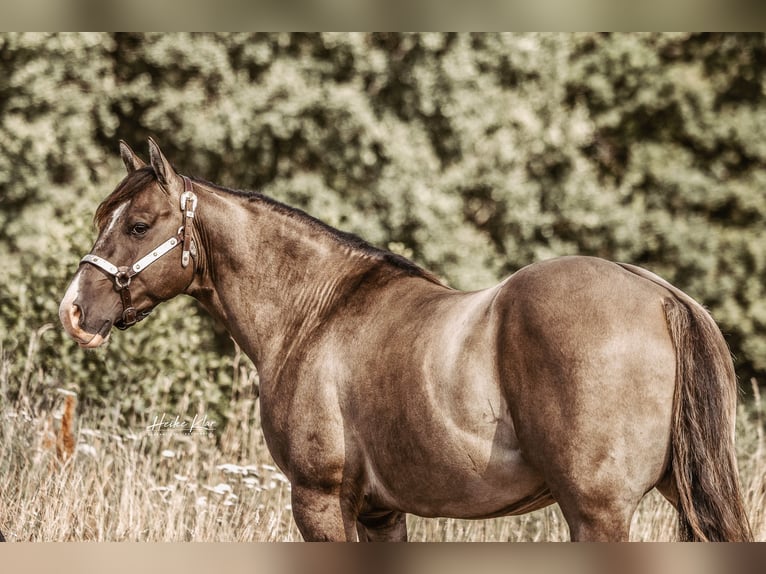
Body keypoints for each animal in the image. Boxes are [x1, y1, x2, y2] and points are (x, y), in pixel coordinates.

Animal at [59, 138, 752, 541]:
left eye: (139, 224)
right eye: (102, 216)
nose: (75, 310)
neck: (316, 312)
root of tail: (660, 296)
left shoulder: (319, 502)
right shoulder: (379, 512)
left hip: (597, 514)